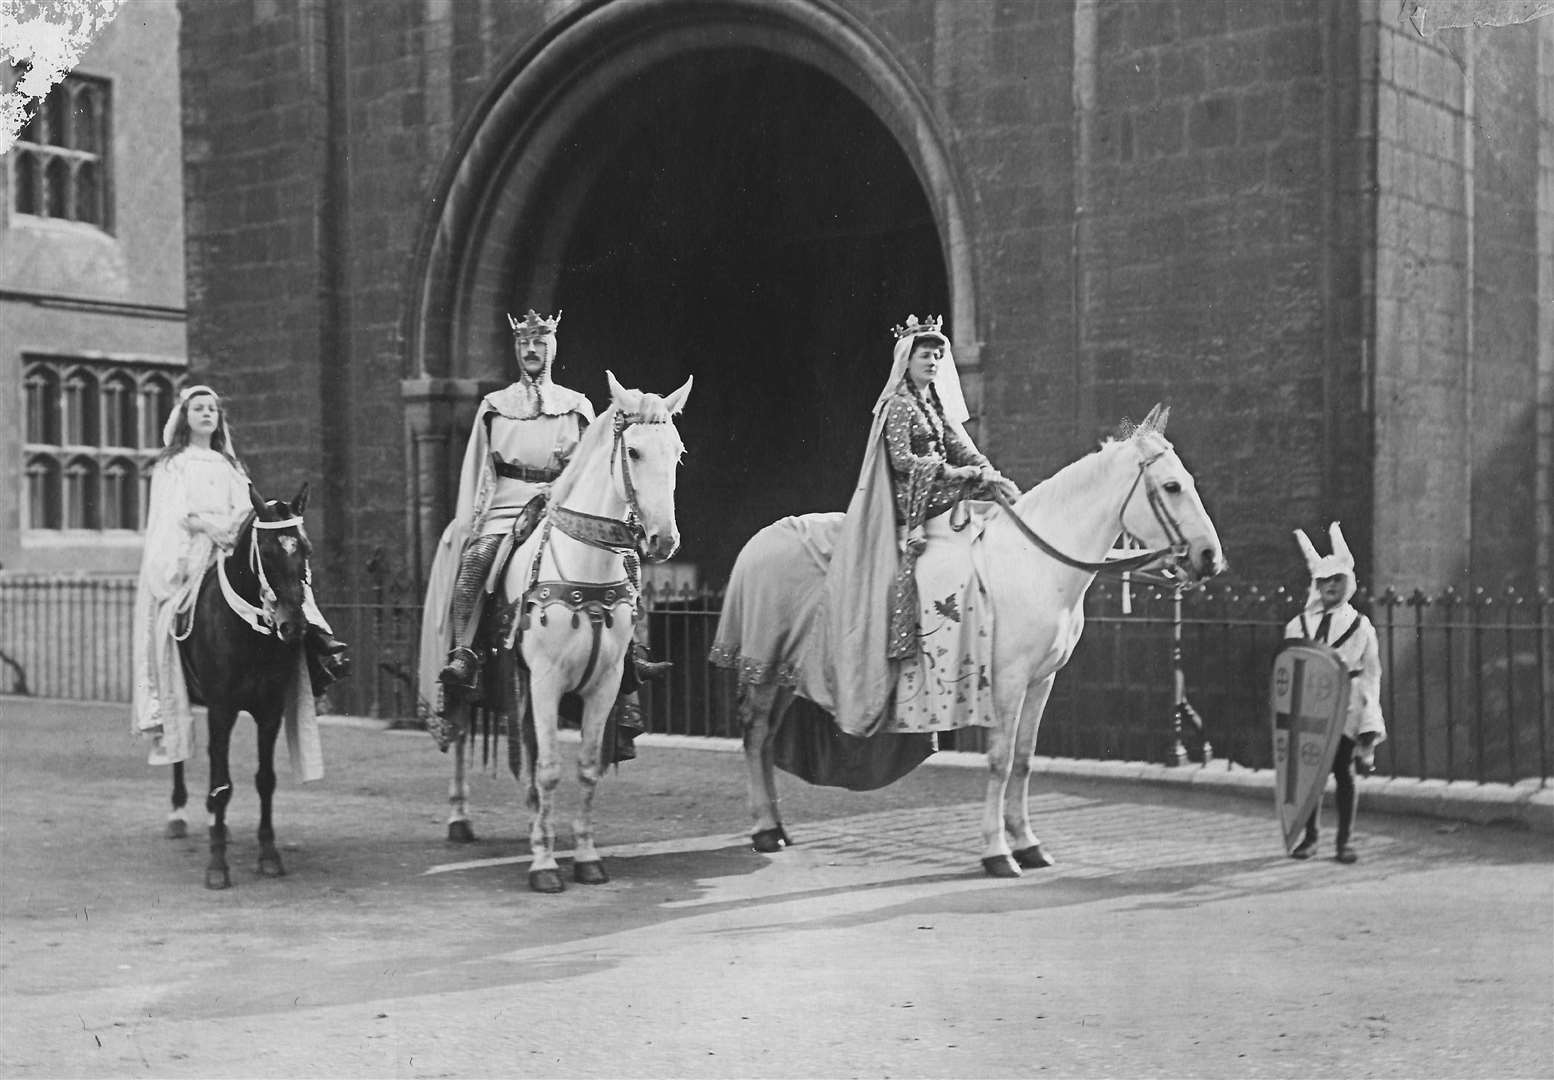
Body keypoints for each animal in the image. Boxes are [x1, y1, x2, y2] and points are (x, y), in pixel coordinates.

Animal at [168, 484, 317, 888]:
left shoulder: (270, 710)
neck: (249, 633)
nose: (293, 626)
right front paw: (217, 865)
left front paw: (269, 855)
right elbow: (222, 785)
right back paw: (178, 814)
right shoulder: (221, 708)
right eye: (265, 551)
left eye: (305, 547)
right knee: (179, 750)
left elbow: (265, 780)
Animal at [503, 371, 693, 895]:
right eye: (634, 452)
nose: (664, 541)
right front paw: (544, 864)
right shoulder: (545, 682)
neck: (585, 571)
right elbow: (548, 770)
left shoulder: (605, 686)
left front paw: (586, 857)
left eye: (678, 453)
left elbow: (587, 768)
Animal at [714, 404, 1224, 876]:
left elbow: (1024, 760)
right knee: (754, 734)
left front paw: (1029, 844)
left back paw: (778, 828)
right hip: (763, 666)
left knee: (765, 737)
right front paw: (998, 852)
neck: (1034, 562)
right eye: (1172, 486)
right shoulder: (1007, 681)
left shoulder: (1041, 681)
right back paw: (764, 829)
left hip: (786, 671)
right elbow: (1000, 761)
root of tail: (762, 537)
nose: (1209, 557)